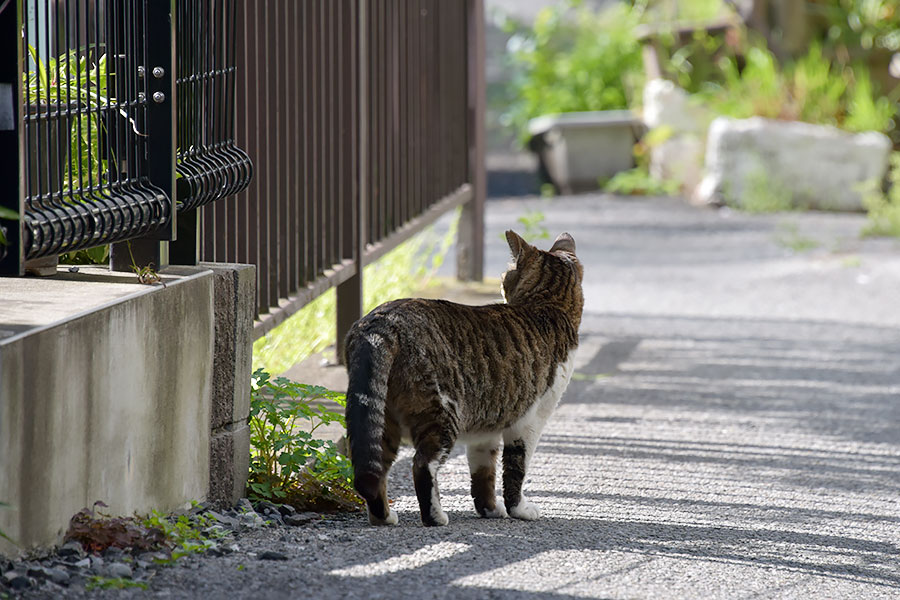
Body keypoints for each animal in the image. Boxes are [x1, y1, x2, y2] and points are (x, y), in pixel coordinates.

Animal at [344, 230, 584, 524]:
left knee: (373, 472)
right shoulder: (529, 422)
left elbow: (483, 473)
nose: (502, 284)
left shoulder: (486, 429)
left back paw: (384, 517)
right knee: (422, 464)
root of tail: (382, 322)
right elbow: (516, 469)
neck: (549, 306)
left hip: (382, 418)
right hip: (442, 413)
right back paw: (435, 517)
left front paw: (489, 509)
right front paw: (519, 510)